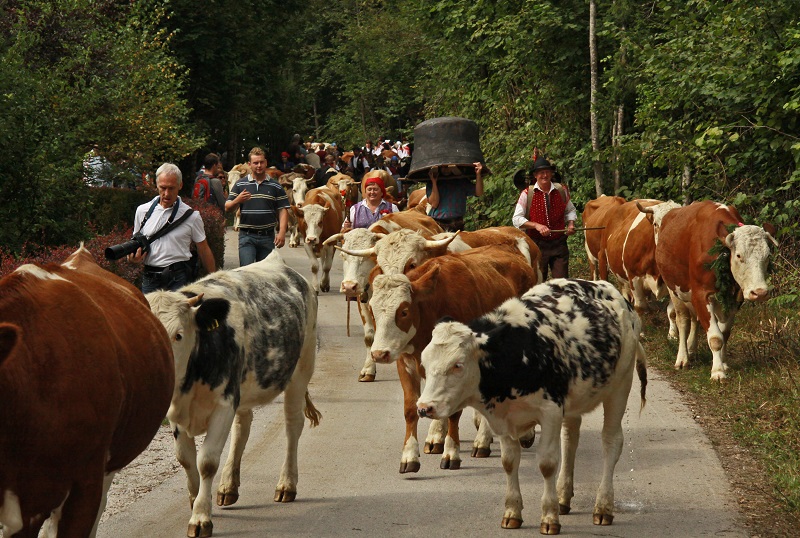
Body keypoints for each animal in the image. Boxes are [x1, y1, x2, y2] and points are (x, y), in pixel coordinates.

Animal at [145, 251, 320, 536]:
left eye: (178, 335)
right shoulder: (176, 410)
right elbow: (185, 459)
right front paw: (197, 500)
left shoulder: (224, 403)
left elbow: (206, 461)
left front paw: (200, 517)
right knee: (243, 426)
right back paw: (228, 486)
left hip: (301, 368)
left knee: (292, 426)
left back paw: (286, 484)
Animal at [368, 245, 536, 472]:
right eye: (372, 310)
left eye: (403, 311)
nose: (379, 353)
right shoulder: (406, 363)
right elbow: (410, 410)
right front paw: (409, 456)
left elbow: (455, 413)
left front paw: (451, 453)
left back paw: (489, 440)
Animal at [648, 199, 776, 378]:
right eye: (739, 255)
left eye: (767, 256)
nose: (760, 292)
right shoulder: (701, 294)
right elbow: (715, 338)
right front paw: (717, 372)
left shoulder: (734, 298)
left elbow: (724, 334)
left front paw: (723, 364)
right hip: (674, 289)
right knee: (683, 321)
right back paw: (682, 358)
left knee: (695, 320)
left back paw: (692, 350)